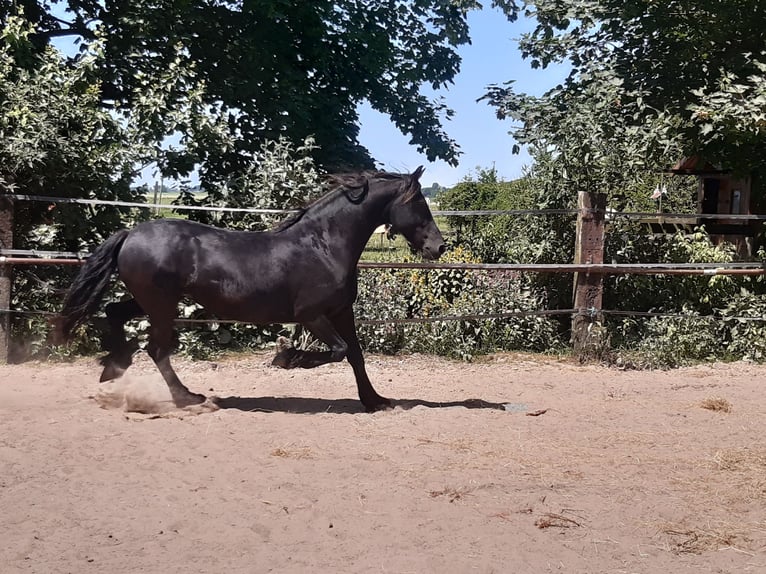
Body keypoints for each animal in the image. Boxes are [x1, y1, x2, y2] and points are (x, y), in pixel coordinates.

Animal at [54, 166, 448, 414]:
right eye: (418, 202)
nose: (439, 247)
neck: (323, 244)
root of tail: (130, 234)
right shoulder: (311, 315)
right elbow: (337, 351)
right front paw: (288, 358)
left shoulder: (341, 311)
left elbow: (355, 355)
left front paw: (375, 401)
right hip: (162, 306)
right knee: (157, 349)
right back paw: (189, 399)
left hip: (149, 301)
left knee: (115, 313)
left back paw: (114, 367)